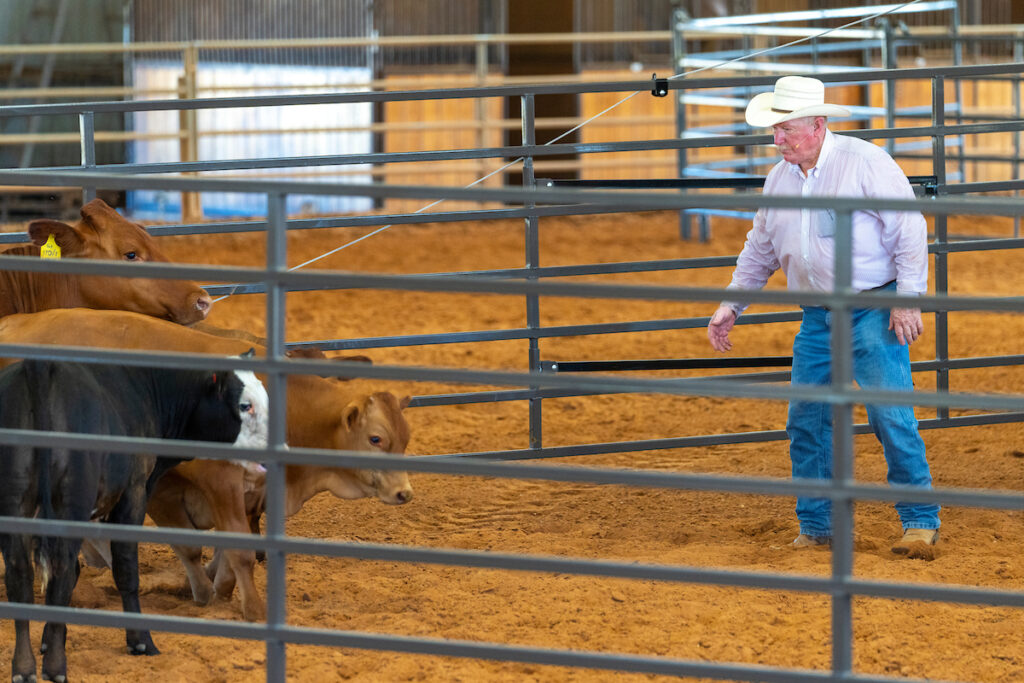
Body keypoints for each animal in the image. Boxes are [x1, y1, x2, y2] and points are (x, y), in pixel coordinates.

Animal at [0, 307, 411, 622]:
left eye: (405, 438)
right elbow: (228, 549)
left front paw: (221, 589)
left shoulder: (251, 492)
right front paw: (248, 607)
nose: (404, 492)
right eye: (376, 438)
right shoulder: (211, 483)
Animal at [0, 360, 249, 679]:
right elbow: (125, 569)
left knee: (21, 576)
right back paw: (56, 667)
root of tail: (40, 366)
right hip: (71, 501)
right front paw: (140, 641)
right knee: (61, 571)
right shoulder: (134, 490)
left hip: (17, 501)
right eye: (243, 403)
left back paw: (24, 668)